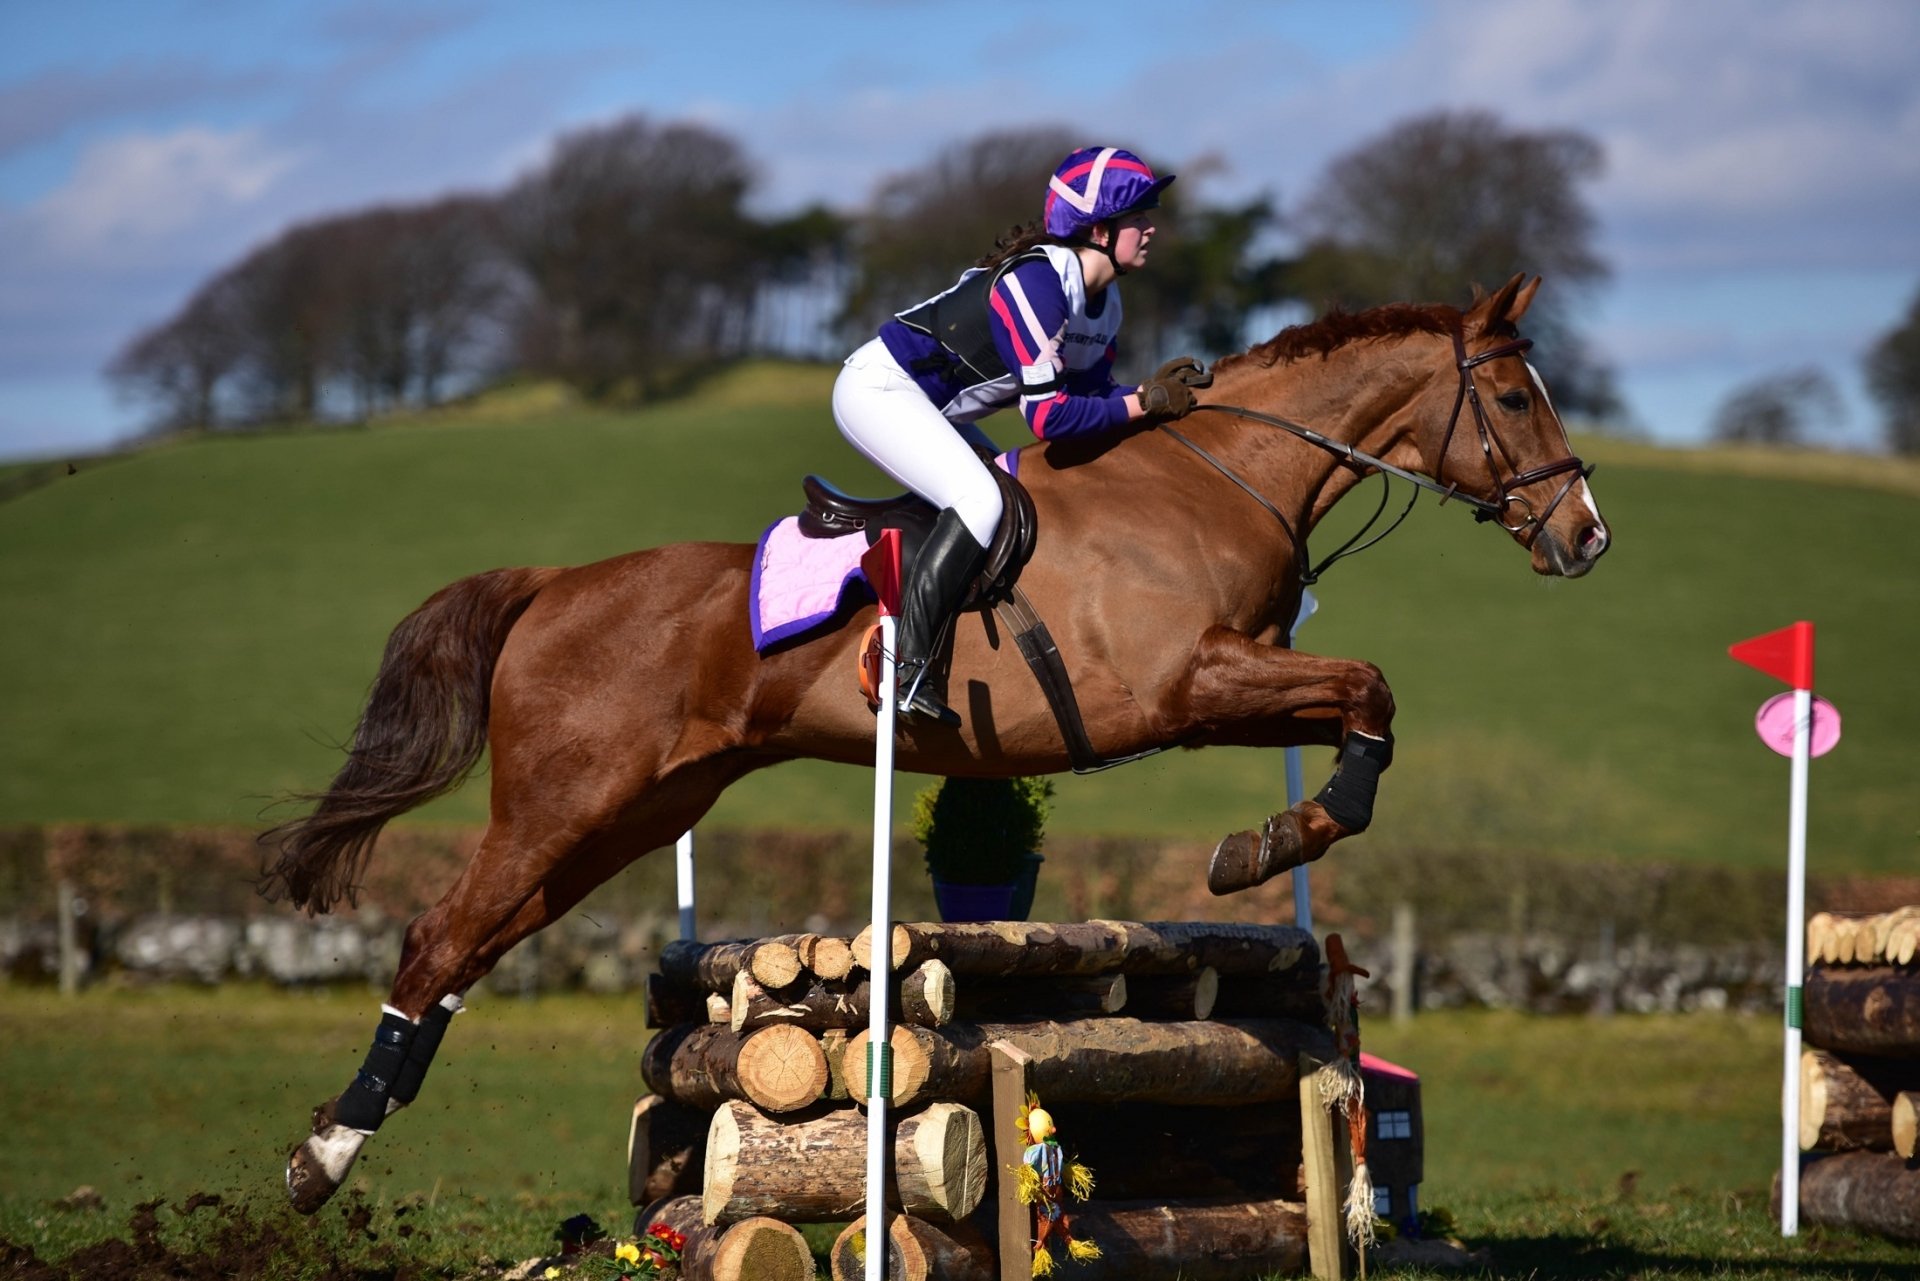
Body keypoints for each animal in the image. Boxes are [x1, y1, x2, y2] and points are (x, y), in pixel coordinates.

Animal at [267, 273, 1608, 1211]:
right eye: (1511, 397)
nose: (1586, 536)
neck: (1216, 478)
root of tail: (553, 584)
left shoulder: (1227, 690)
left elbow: (1362, 704)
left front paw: (1275, 835)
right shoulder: (1184, 682)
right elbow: (1369, 689)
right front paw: (1270, 845)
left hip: (626, 816)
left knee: (473, 946)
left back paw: (349, 1132)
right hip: (563, 805)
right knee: (439, 937)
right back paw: (324, 1159)